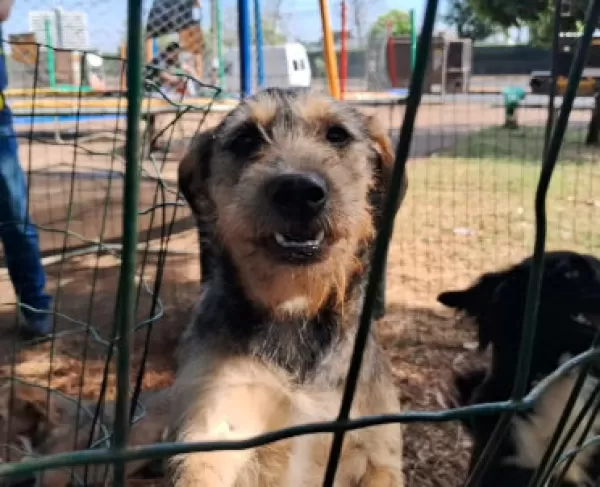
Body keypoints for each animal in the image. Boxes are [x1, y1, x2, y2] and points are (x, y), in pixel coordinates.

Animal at [172, 88, 408, 487]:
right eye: (246, 139)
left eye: (337, 134)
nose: (298, 191)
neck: (294, 313)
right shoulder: (218, 432)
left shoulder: (378, 454)